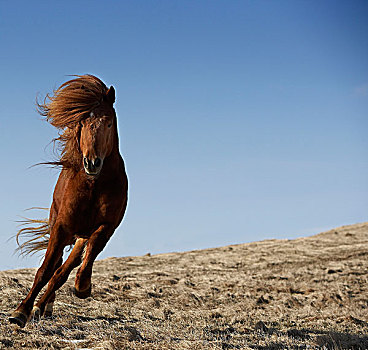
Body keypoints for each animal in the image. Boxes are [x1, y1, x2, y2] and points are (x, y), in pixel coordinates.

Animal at [9, 74, 129, 328]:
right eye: (82, 123)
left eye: (109, 123)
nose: (92, 163)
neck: (93, 185)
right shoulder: (62, 226)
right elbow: (45, 270)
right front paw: (20, 311)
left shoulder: (105, 227)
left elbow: (83, 259)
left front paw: (83, 287)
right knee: (55, 265)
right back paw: (39, 306)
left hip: (79, 236)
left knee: (64, 269)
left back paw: (44, 306)